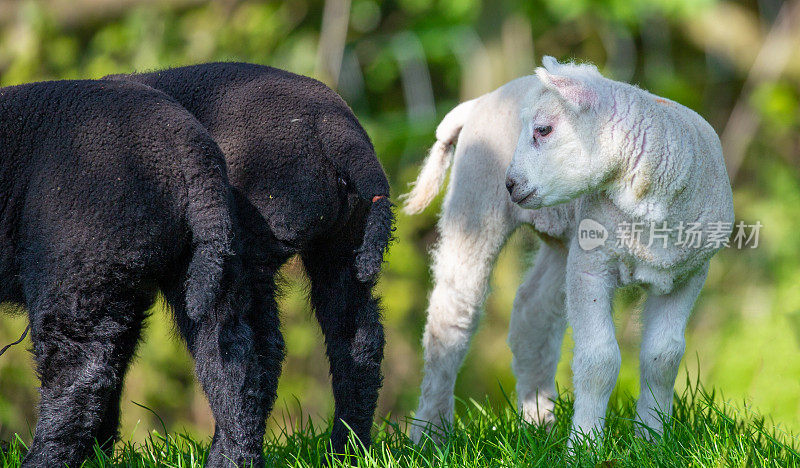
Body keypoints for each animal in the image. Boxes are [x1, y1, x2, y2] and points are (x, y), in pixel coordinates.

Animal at [0, 80, 276, 468]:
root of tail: (191, 151)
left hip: (78, 261)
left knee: (78, 374)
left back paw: (44, 459)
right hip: (205, 261)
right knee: (232, 361)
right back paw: (232, 458)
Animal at [106, 62, 394, 454]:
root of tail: (341, 134)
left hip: (249, 249)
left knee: (256, 349)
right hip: (344, 243)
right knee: (357, 341)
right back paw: (346, 449)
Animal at [404, 56, 736, 444]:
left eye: (543, 129)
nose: (510, 184)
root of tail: (479, 102)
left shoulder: (688, 274)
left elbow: (663, 358)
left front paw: (652, 439)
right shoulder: (591, 266)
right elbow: (598, 360)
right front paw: (585, 445)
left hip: (564, 242)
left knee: (532, 312)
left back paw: (537, 420)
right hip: (474, 203)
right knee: (452, 314)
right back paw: (430, 433)